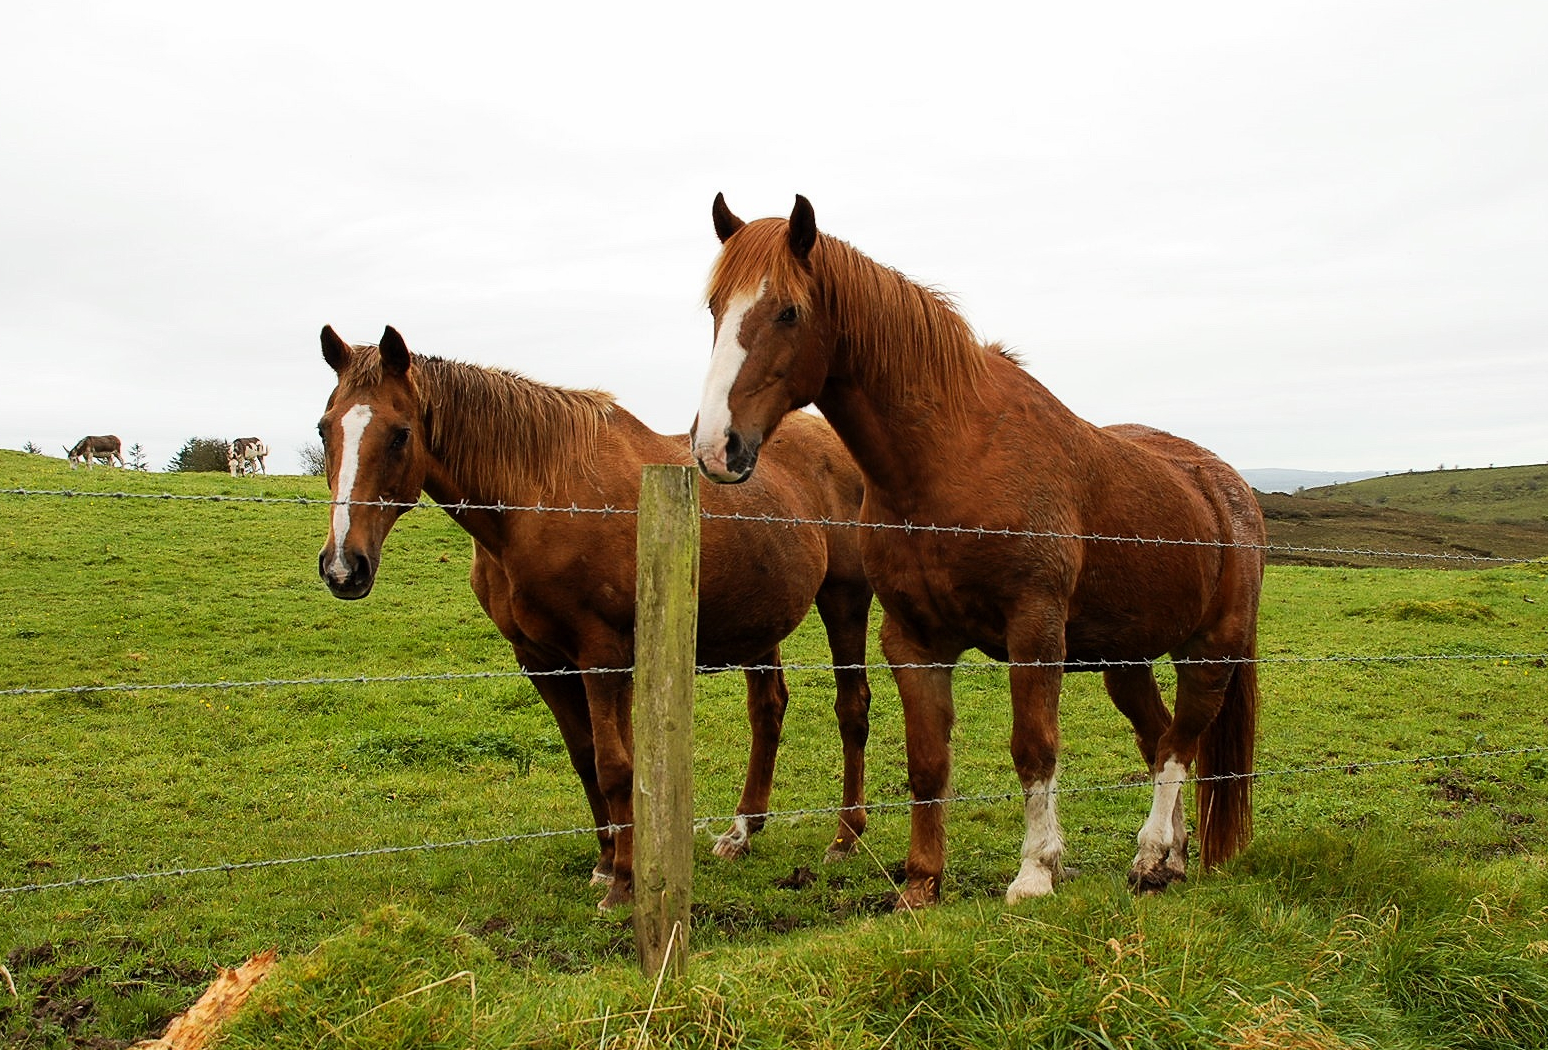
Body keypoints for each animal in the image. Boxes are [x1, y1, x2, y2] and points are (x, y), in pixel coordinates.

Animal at [316, 325, 874, 909]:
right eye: (324, 429)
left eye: (400, 434)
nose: (343, 566)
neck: (538, 499)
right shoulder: (542, 661)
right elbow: (585, 759)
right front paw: (608, 864)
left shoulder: (603, 657)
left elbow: (616, 766)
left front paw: (625, 882)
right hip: (760, 621)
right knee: (768, 711)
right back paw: (742, 831)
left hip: (845, 600)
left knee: (851, 707)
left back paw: (845, 836)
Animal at [690, 195, 1265, 909]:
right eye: (715, 308)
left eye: (788, 311)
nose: (717, 446)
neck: (952, 458)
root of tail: (1228, 488)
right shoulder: (914, 640)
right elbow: (927, 761)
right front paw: (920, 882)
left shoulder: (1034, 630)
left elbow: (1034, 748)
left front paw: (1036, 872)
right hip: (1125, 658)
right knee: (1158, 737)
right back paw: (1170, 861)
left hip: (1211, 650)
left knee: (1180, 743)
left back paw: (1150, 851)